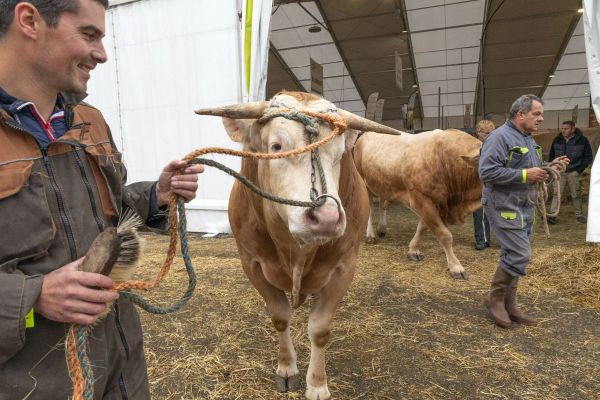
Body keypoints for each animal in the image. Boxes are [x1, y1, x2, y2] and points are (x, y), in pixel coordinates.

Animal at [354, 128, 480, 278]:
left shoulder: (431, 203)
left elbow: (422, 228)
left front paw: (413, 250)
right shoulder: (421, 199)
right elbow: (444, 234)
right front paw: (456, 267)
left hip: (384, 184)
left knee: (384, 204)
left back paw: (382, 228)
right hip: (364, 182)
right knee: (370, 208)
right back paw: (370, 235)